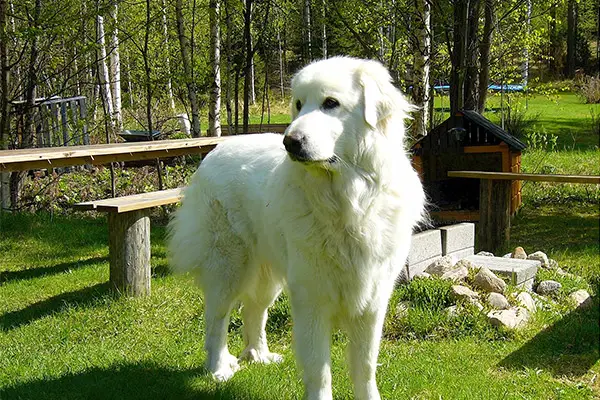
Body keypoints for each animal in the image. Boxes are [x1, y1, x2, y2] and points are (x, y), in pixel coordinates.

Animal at [166, 57, 424, 400]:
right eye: (299, 105)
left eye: (331, 103)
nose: (290, 141)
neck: (348, 201)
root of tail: (216, 150)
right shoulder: (311, 298)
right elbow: (319, 369)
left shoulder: (372, 301)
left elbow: (366, 367)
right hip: (229, 266)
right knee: (217, 318)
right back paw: (219, 367)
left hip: (268, 275)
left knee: (253, 310)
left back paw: (259, 355)